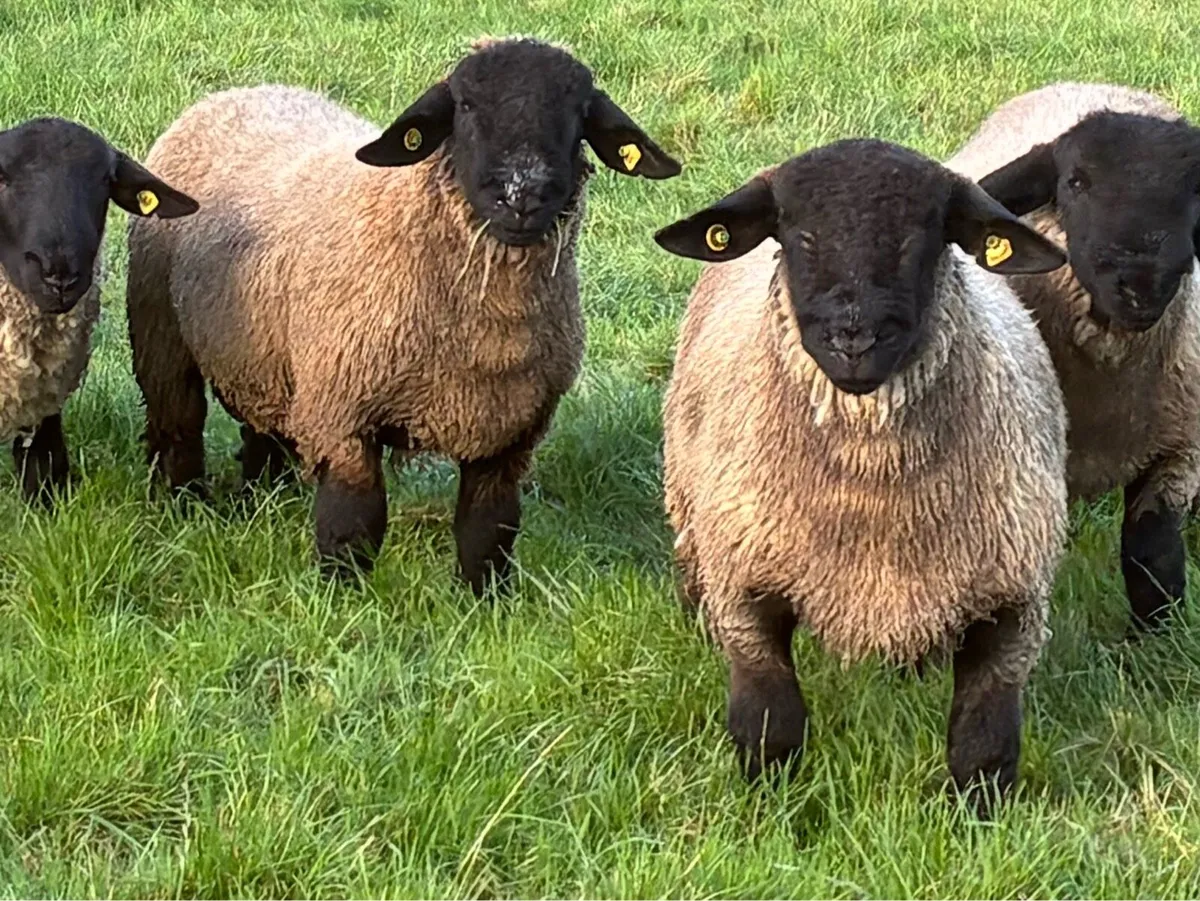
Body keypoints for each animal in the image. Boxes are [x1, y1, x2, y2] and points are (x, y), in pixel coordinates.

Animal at [126, 37, 681, 590]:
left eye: (579, 113)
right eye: (465, 105)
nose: (522, 196)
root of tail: (244, 91)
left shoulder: (509, 436)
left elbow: (489, 530)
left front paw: (484, 599)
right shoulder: (343, 415)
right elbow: (353, 524)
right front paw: (341, 597)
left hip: (268, 360)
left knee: (265, 432)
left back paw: (263, 500)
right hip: (163, 335)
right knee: (178, 423)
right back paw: (182, 505)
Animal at [654, 139, 1069, 813]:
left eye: (926, 235)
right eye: (797, 233)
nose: (855, 337)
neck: (871, 497)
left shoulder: (1012, 601)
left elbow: (984, 746)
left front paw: (979, 825)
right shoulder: (747, 586)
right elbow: (770, 730)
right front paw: (771, 817)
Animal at [947, 83, 1200, 632]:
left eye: (1195, 195)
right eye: (1076, 182)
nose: (1139, 284)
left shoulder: (1179, 448)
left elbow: (1152, 551)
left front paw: (1153, 635)